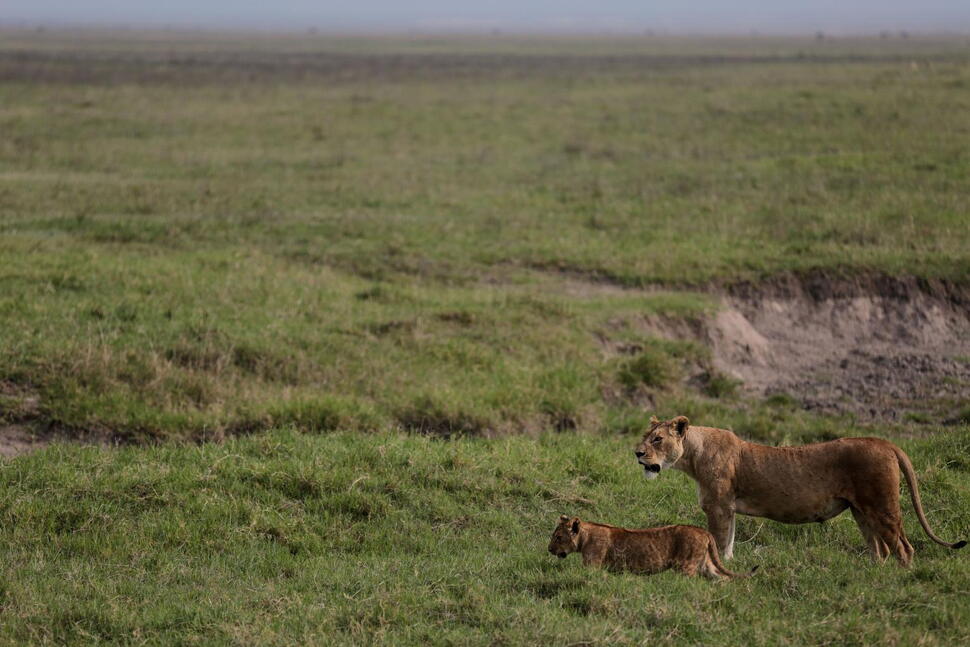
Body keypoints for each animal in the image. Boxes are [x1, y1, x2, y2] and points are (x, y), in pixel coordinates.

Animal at [547, 515, 756, 579]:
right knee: (722, 578)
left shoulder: (592, 565)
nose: (549, 550)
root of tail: (704, 531)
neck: (586, 535)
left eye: (558, 537)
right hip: (706, 564)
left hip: (686, 566)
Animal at [634, 415, 966, 565]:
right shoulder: (728, 508)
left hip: (882, 506)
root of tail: (884, 442)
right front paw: (728, 565)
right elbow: (728, 541)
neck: (693, 455)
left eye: (657, 439)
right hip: (861, 511)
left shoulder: (717, 506)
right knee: (880, 549)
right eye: (645, 435)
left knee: (903, 547)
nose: (637, 453)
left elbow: (717, 539)